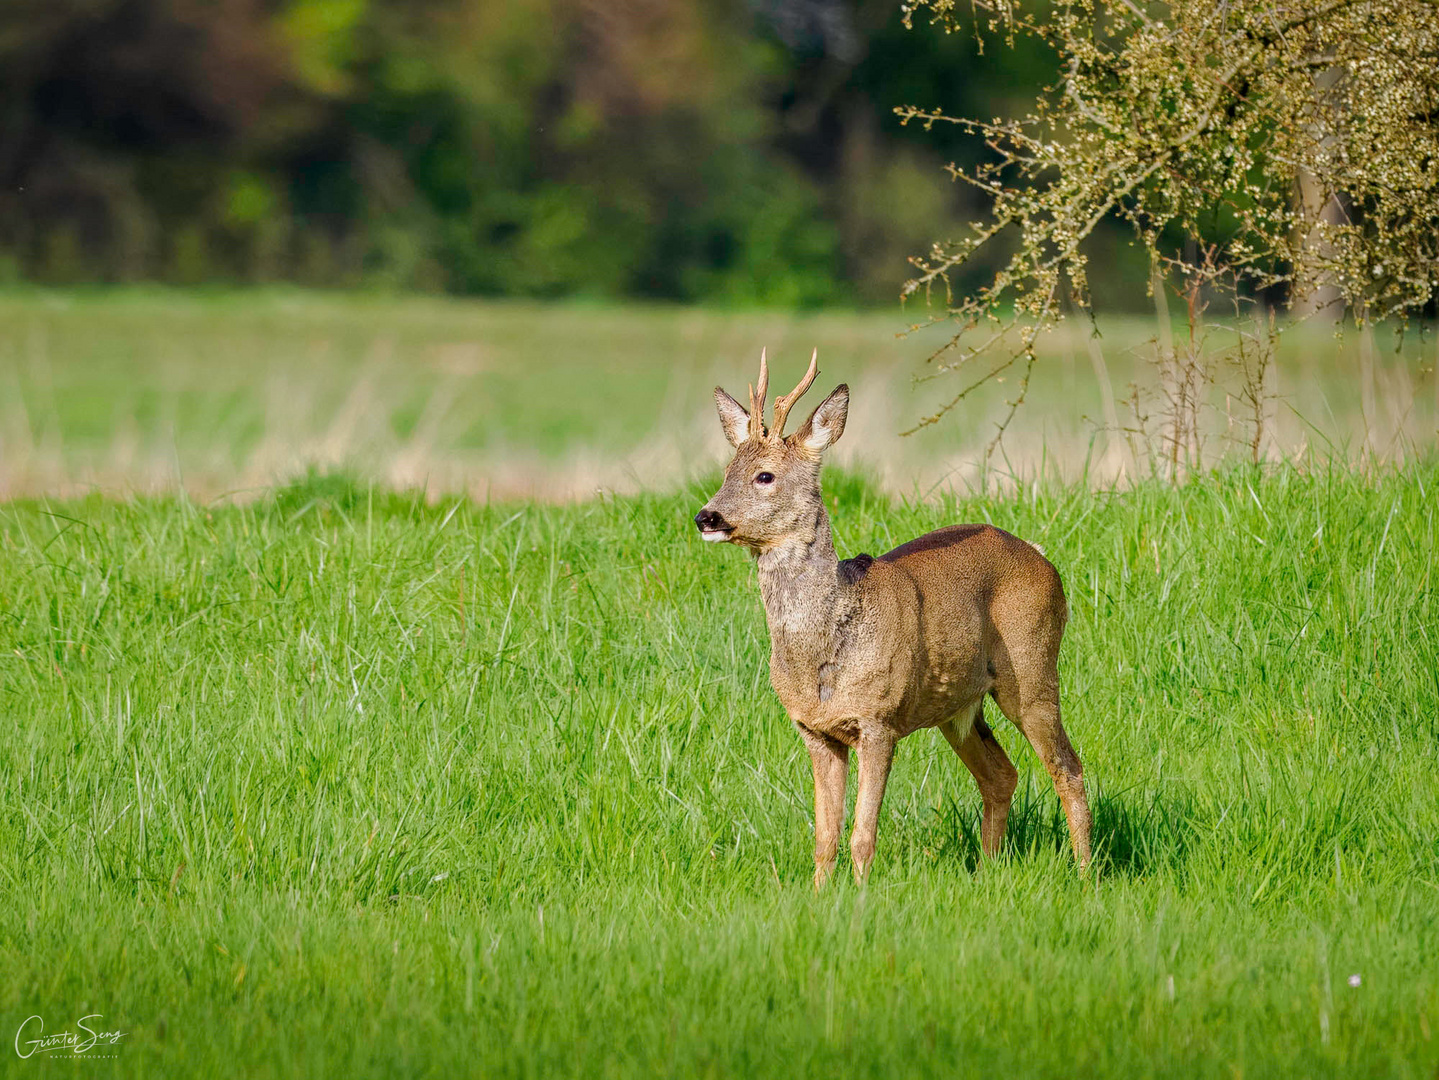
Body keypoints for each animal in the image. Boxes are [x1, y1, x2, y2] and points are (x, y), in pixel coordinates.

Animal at [696, 352, 1087, 885]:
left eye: (765, 476)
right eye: (727, 469)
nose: (706, 517)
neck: (827, 646)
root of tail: (1043, 557)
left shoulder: (878, 721)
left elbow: (862, 836)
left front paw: (861, 897)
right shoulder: (815, 731)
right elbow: (824, 838)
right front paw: (820, 895)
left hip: (1032, 668)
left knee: (1069, 768)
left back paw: (1086, 874)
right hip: (958, 705)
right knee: (1001, 774)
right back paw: (988, 872)